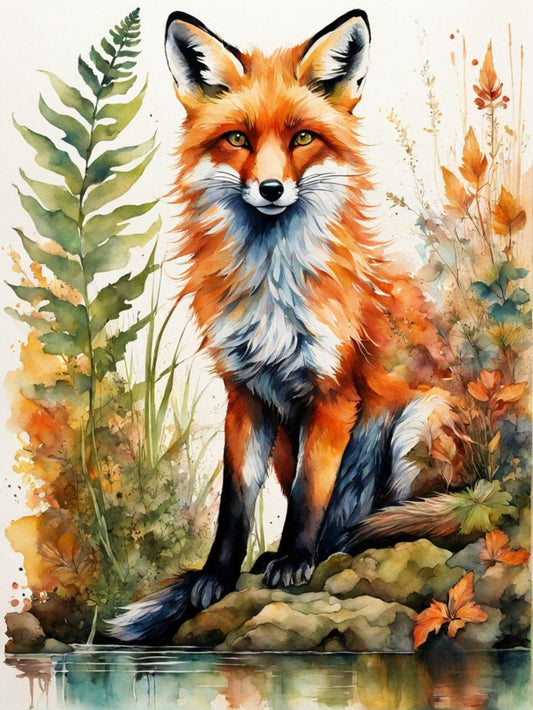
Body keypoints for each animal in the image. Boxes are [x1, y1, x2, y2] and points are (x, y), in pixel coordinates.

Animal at [108, 9, 468, 643]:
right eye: (238, 139)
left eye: (302, 137)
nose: (271, 189)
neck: (274, 292)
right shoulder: (246, 395)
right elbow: (233, 505)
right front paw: (217, 576)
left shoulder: (333, 395)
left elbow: (307, 496)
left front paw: (295, 559)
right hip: (284, 439)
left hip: (418, 423)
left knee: (396, 520)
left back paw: (334, 548)